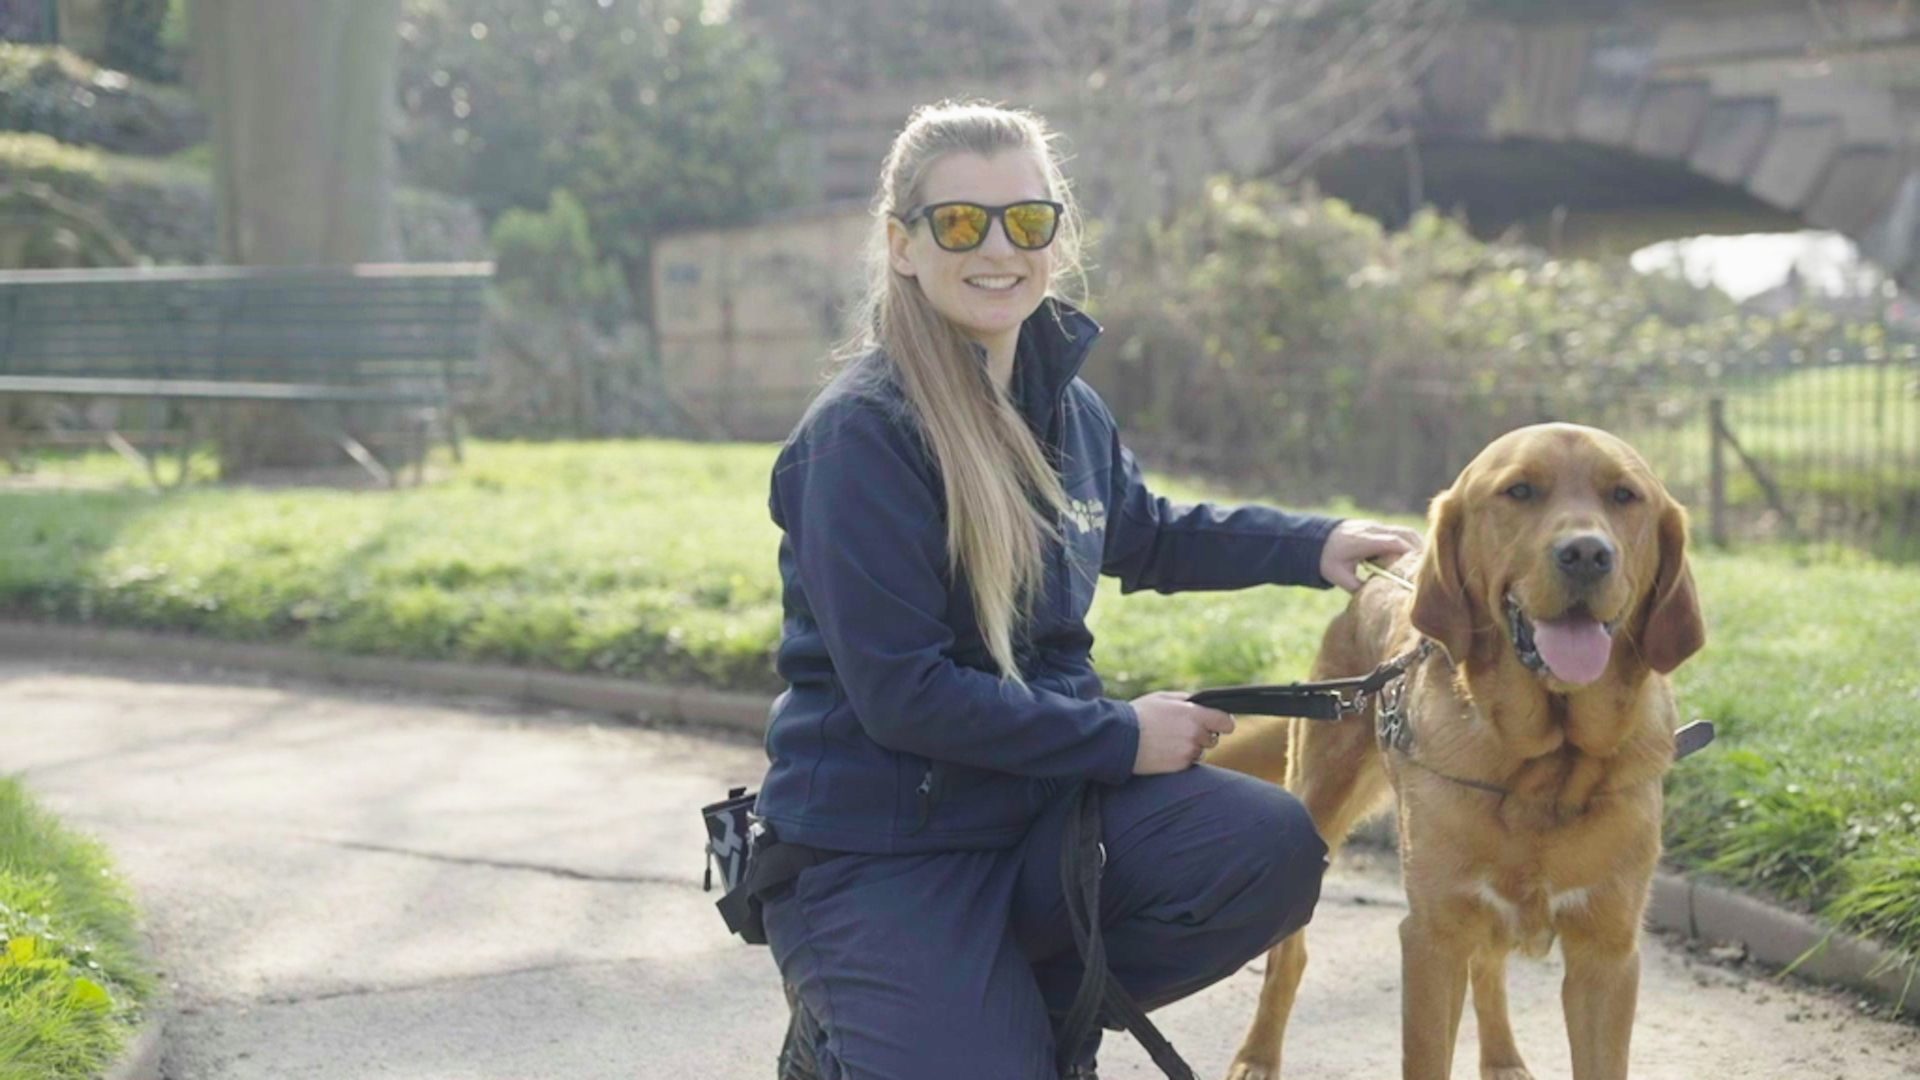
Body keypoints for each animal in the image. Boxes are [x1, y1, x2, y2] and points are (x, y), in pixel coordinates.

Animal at [1221, 420, 1704, 1076]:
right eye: (1519, 490)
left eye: (1625, 496)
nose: (1586, 554)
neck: (1544, 766)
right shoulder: (1433, 936)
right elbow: (1427, 1051)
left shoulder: (1607, 954)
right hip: (1317, 808)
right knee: (1287, 958)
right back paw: (1257, 1056)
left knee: (1489, 968)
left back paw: (1503, 1058)